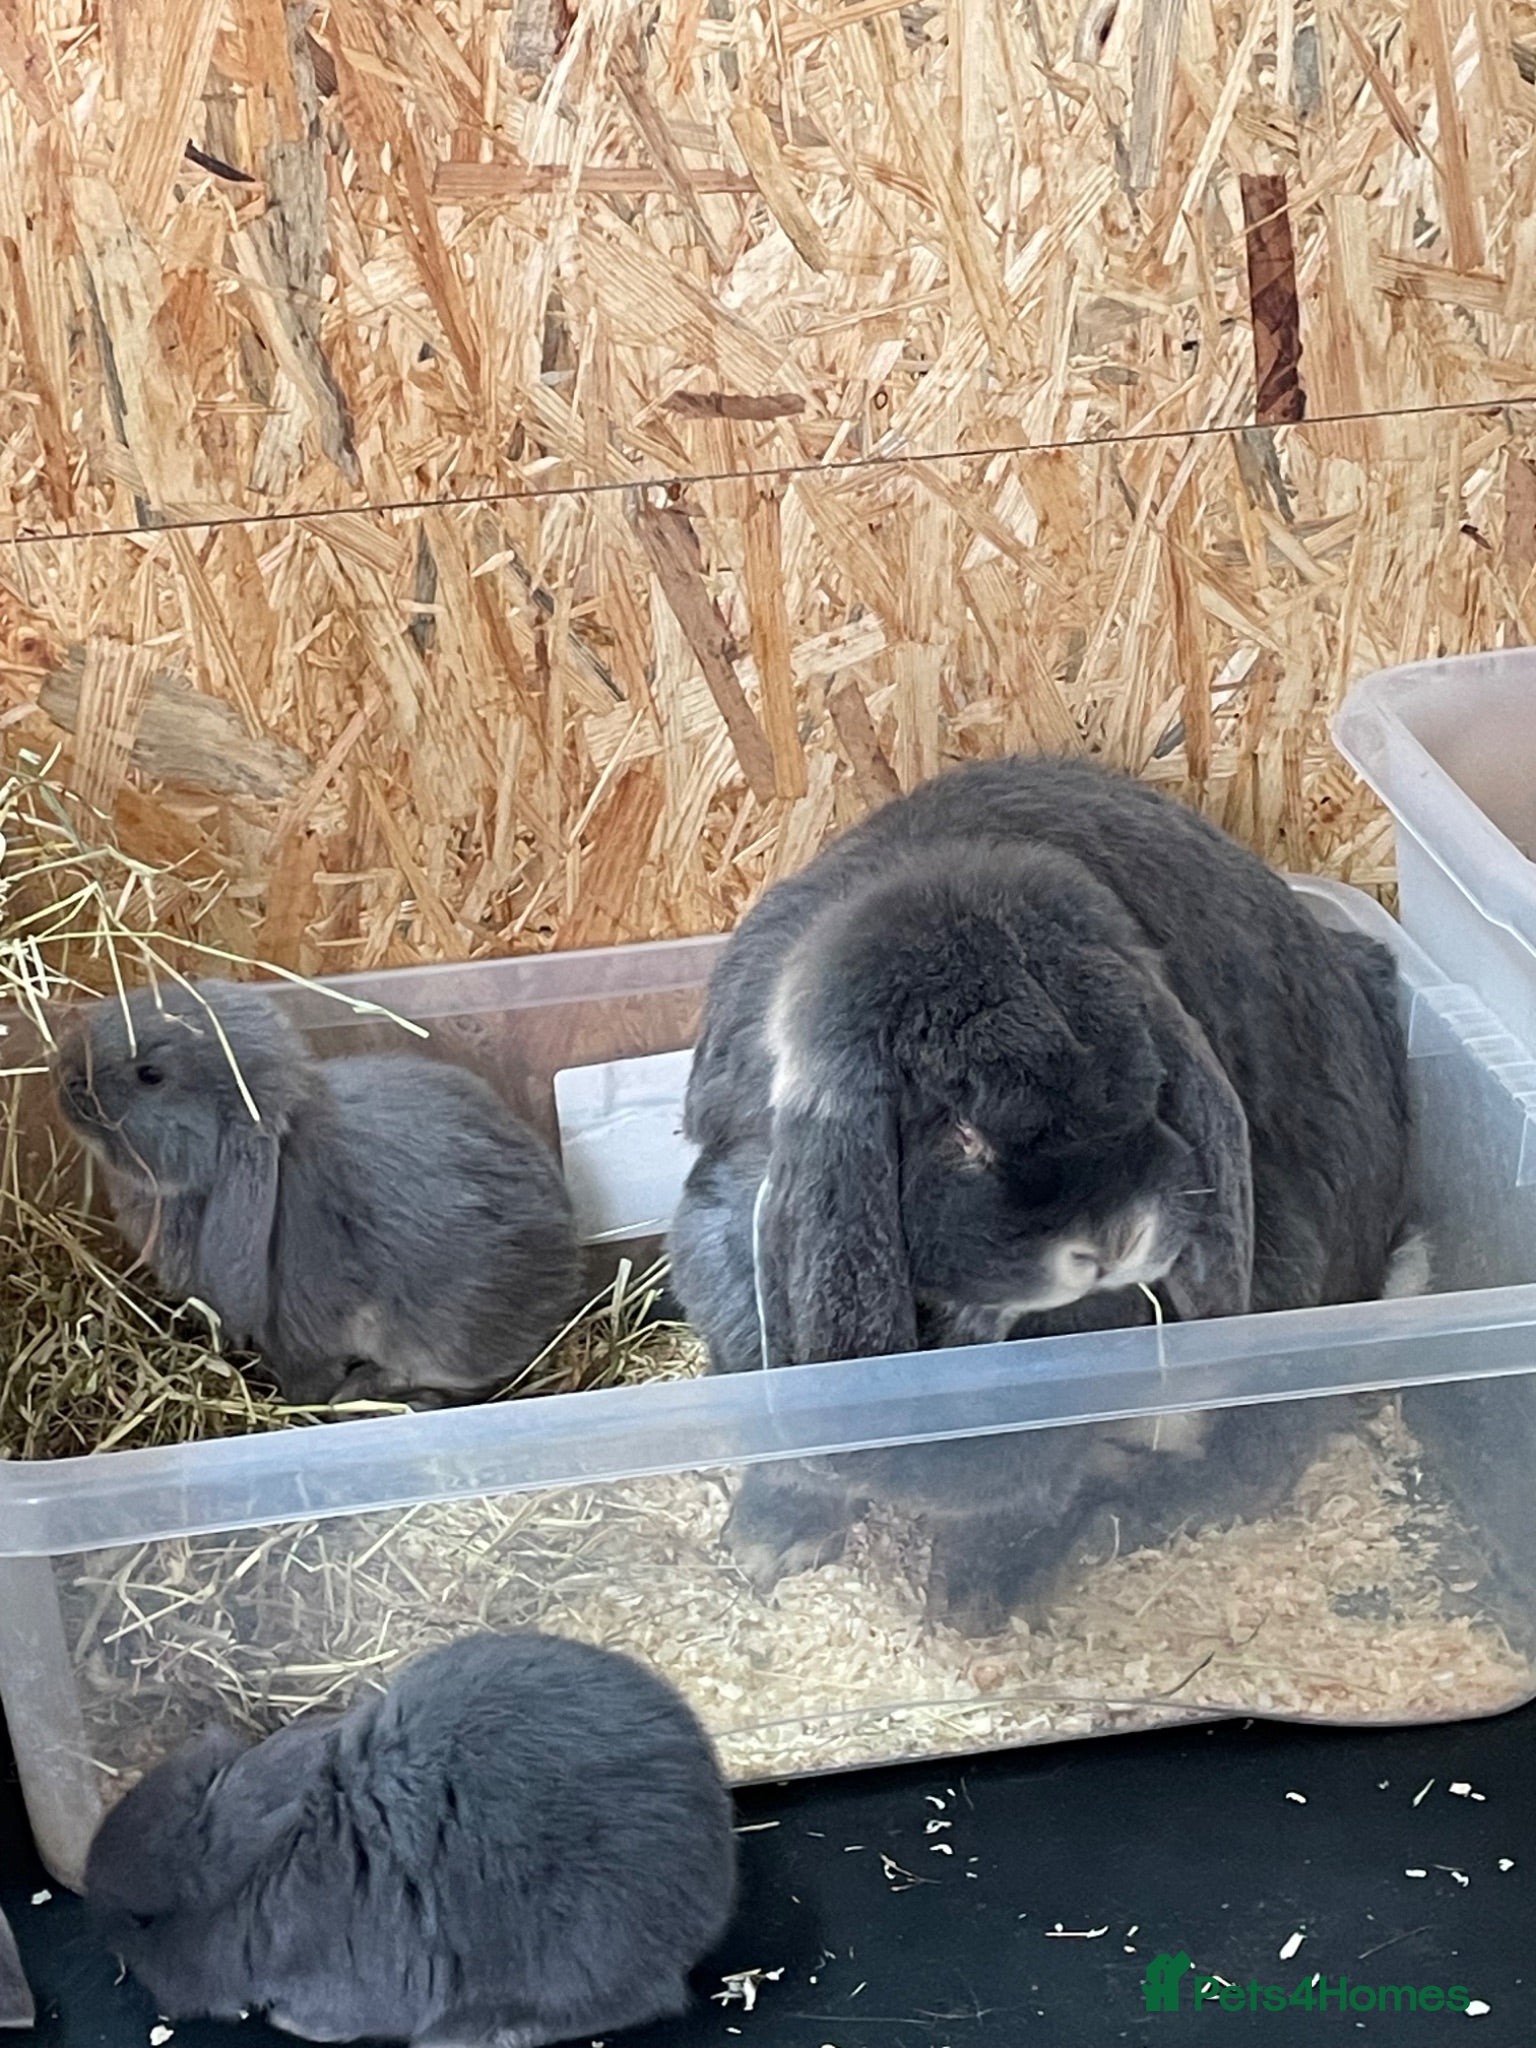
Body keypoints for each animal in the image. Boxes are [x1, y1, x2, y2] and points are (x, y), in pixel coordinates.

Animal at [84, 1630, 738, 2048]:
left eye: (142, 1918)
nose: (102, 1934)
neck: (271, 1872)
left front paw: (287, 2024)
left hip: (582, 1949)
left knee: (642, 2000)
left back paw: (490, 2034)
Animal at [670, 755, 1418, 1627]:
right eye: (959, 1131)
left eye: (1151, 1089)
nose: (1118, 1235)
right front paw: (770, 1541)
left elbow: (1035, 1489)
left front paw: (971, 1599)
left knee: (1259, 1454)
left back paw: (1121, 1522)